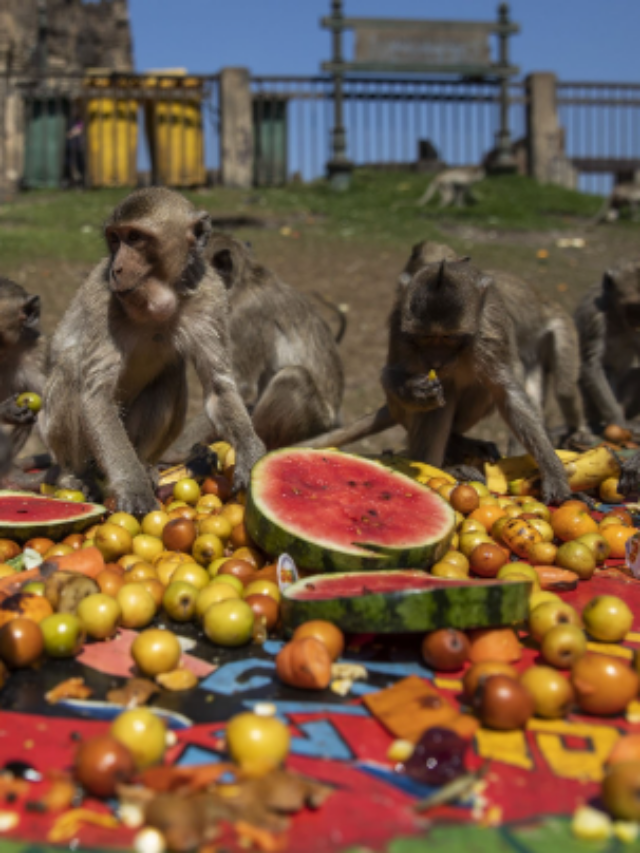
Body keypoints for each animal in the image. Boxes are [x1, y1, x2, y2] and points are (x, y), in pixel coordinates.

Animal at [40, 186, 264, 512]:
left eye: (135, 238)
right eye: (115, 239)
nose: (116, 269)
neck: (157, 301)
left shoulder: (210, 296)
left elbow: (219, 388)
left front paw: (251, 453)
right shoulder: (102, 299)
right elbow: (97, 396)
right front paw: (132, 487)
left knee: (171, 375)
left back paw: (145, 465)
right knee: (70, 367)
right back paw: (75, 475)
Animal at [165, 233, 344, 460]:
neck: (244, 280)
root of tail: (332, 424)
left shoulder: (243, 316)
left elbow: (237, 386)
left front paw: (174, 450)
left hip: (315, 421)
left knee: (293, 377)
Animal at [302, 256, 572, 502]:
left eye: (448, 337)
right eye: (425, 337)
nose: (436, 361)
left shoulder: (491, 330)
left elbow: (506, 393)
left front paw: (553, 471)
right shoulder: (400, 327)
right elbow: (390, 375)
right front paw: (415, 391)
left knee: (480, 388)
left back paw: (456, 441)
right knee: (442, 398)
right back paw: (440, 465)